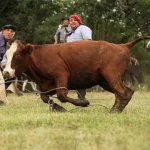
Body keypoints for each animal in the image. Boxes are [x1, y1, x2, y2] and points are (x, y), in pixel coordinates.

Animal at [5, 36, 150, 112]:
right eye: (6, 55)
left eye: (17, 55)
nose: (5, 72)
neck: (39, 57)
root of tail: (123, 46)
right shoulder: (46, 85)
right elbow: (45, 98)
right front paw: (59, 108)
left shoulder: (61, 75)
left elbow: (62, 95)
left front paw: (83, 102)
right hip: (105, 81)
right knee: (127, 91)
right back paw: (117, 109)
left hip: (111, 75)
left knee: (122, 92)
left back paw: (114, 111)